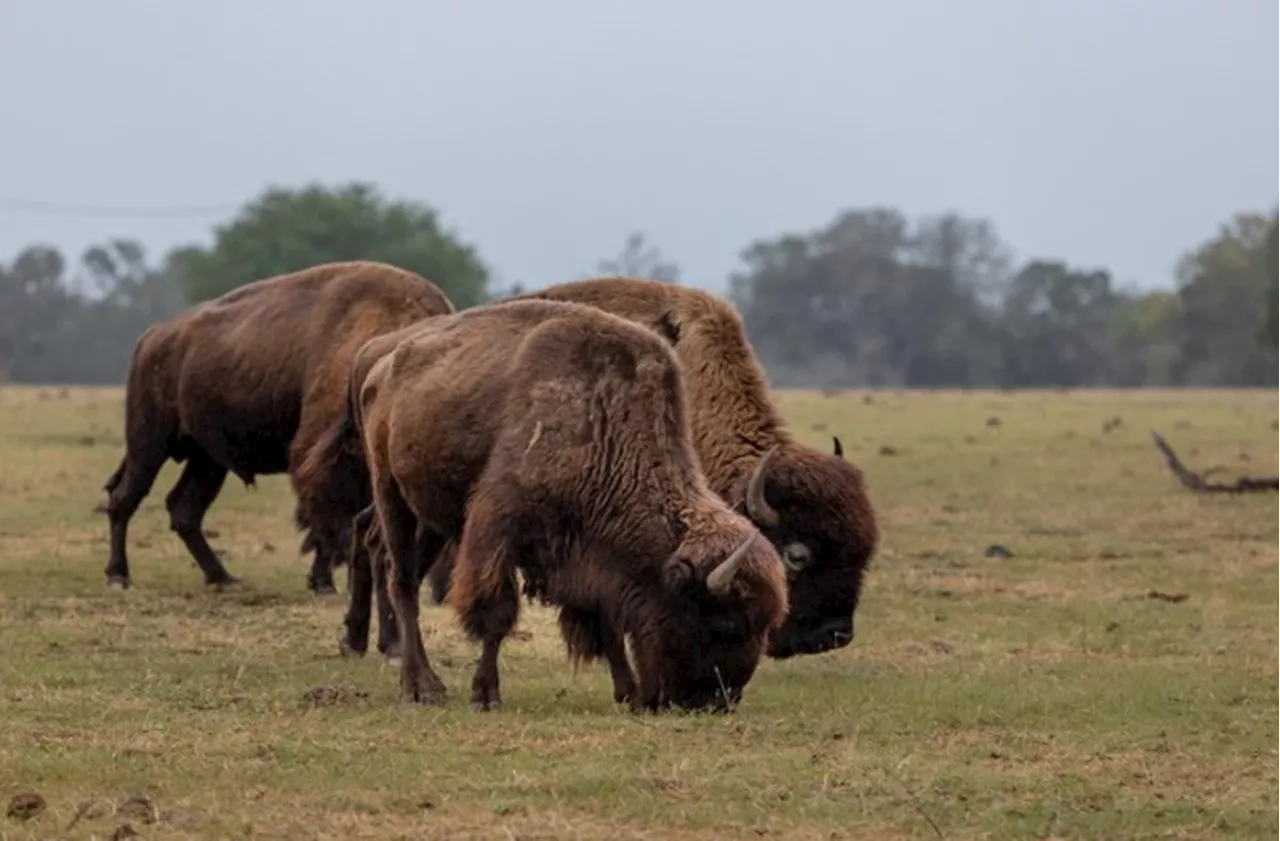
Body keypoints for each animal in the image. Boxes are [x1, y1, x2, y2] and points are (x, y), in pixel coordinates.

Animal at [103, 261, 455, 591]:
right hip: (149, 444)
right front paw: (324, 582)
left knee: (184, 509)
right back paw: (119, 575)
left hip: (208, 459)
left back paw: (222, 577)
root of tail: (152, 336)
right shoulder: (321, 459)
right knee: (125, 498)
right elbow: (326, 521)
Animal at [355, 298, 783, 711]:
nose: (717, 701)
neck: (603, 422)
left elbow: (605, 619)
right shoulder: (500, 530)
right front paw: (485, 695)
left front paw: (628, 692)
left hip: (430, 519)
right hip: (391, 495)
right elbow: (497, 615)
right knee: (402, 582)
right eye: (725, 624)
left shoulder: (591, 559)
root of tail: (380, 367)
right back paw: (421, 687)